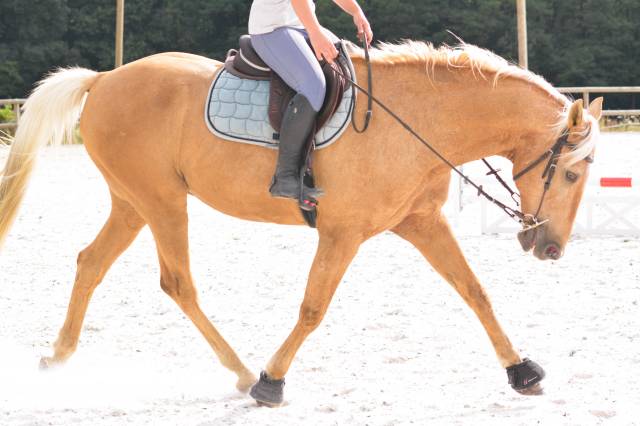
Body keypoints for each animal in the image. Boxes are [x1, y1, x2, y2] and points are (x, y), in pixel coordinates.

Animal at [0, 40, 602, 405]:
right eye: (573, 173)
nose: (551, 249)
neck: (420, 122)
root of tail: (103, 79)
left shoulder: (421, 223)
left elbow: (475, 292)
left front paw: (521, 371)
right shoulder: (342, 233)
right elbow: (313, 308)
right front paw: (272, 382)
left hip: (132, 204)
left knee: (91, 263)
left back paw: (58, 356)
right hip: (163, 202)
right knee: (177, 283)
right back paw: (244, 373)